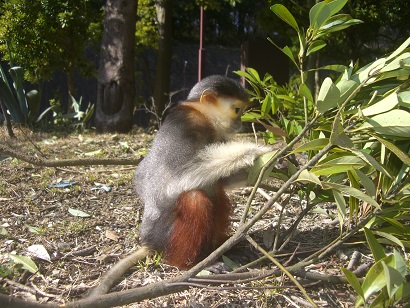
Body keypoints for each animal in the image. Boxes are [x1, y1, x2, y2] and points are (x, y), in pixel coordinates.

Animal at [88, 75, 270, 296]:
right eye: (237, 110)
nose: (239, 123)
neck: (203, 117)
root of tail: (148, 242)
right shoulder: (185, 124)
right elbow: (181, 174)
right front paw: (257, 150)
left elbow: (221, 181)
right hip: (165, 238)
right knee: (195, 198)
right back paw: (193, 264)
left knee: (216, 192)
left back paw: (221, 249)